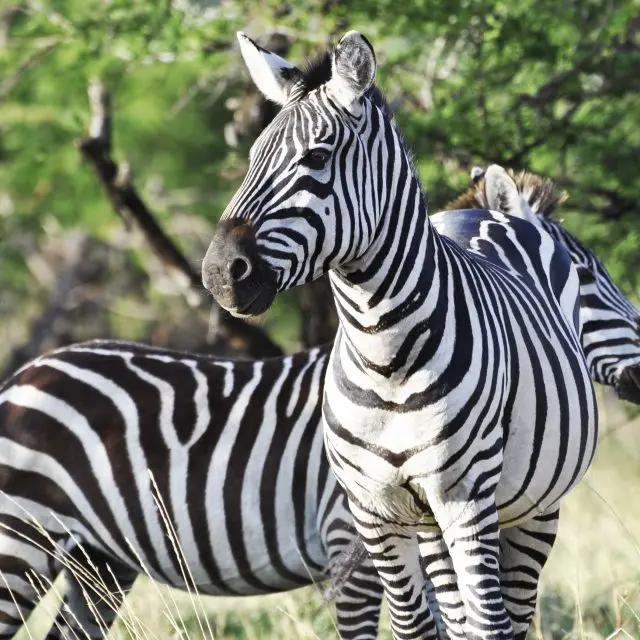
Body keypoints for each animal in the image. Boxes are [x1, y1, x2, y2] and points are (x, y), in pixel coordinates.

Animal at [202, 31, 599, 640]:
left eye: (316, 158)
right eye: (251, 159)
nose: (221, 273)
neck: (383, 353)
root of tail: (489, 212)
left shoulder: (465, 502)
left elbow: (490, 624)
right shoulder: (376, 511)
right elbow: (415, 626)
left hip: (535, 507)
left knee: (510, 613)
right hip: (431, 525)